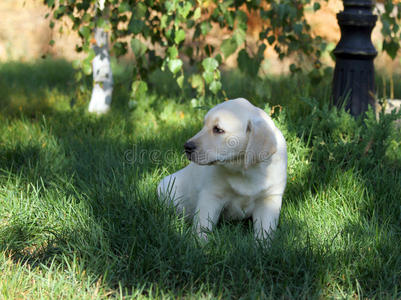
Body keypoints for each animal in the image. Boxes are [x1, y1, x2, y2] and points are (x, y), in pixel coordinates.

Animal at [158, 98, 286, 239]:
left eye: (218, 130)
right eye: (204, 125)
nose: (187, 146)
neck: (245, 169)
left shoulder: (270, 199)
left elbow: (265, 230)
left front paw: (262, 244)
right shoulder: (211, 195)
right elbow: (203, 225)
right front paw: (198, 242)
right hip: (166, 187)